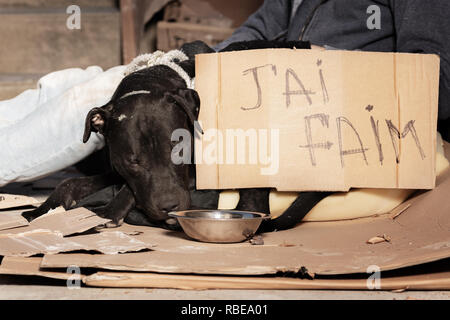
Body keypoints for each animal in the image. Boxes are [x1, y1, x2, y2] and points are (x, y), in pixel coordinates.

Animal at [21, 40, 328, 230]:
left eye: (180, 149)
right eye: (133, 161)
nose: (170, 206)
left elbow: (125, 191)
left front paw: (110, 211)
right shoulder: (117, 168)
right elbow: (72, 182)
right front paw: (42, 209)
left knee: (254, 205)